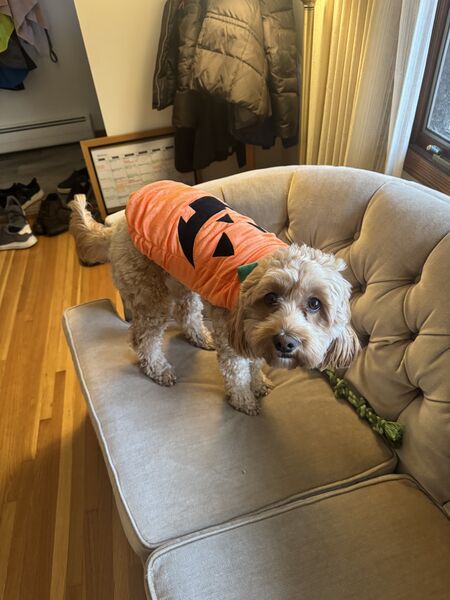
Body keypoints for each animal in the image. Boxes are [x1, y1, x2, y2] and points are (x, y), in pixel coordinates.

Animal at [69, 181, 359, 415]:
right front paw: (244, 400)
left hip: (183, 276)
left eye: (314, 303)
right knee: (144, 337)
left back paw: (199, 337)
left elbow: (254, 363)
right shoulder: (235, 338)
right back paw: (158, 368)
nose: (285, 342)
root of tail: (116, 225)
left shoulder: (251, 333)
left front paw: (258, 383)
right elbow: (237, 373)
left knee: (186, 312)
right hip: (149, 291)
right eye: (271, 297)